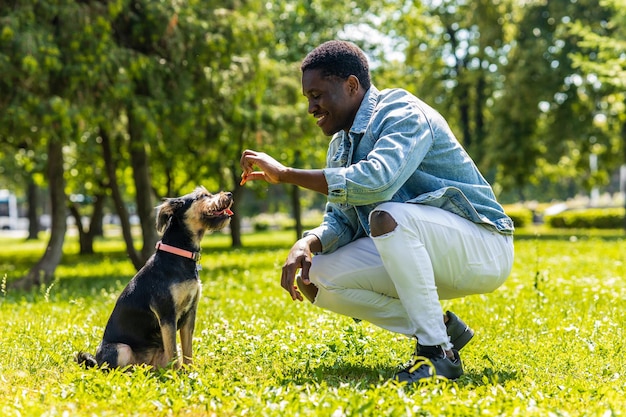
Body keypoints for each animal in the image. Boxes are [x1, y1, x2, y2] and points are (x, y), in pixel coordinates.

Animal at [77, 187, 233, 368]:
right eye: (202, 196)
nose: (229, 194)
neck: (179, 255)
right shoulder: (167, 315)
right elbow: (174, 353)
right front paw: (178, 373)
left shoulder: (190, 313)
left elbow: (187, 351)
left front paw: (190, 370)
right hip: (121, 349)